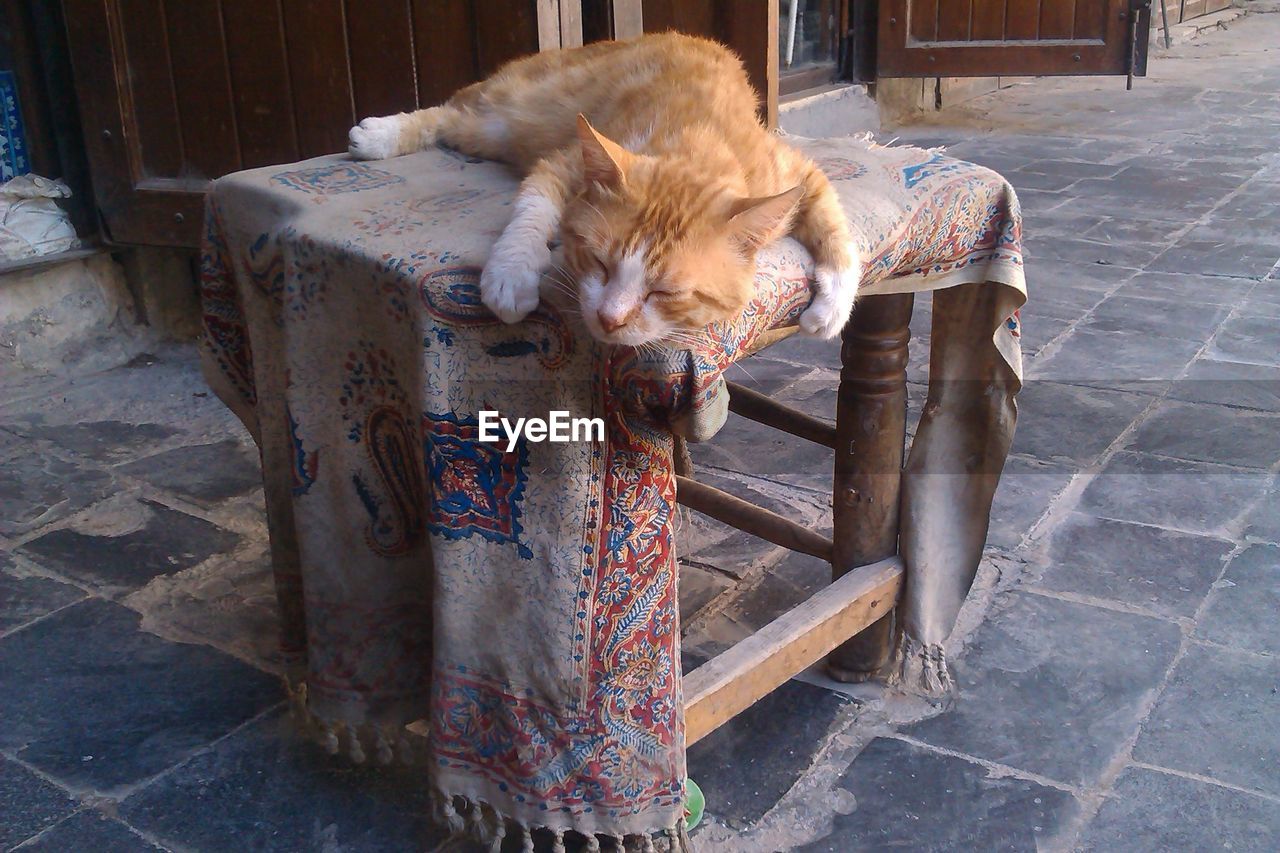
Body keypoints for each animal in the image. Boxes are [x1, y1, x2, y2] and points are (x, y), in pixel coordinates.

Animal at [348, 33, 860, 345]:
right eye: (598, 262)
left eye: (665, 293)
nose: (610, 319)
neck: (695, 143)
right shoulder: (564, 162)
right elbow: (531, 211)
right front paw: (512, 272)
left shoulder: (796, 171)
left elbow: (837, 230)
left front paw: (832, 307)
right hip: (513, 118)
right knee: (450, 112)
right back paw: (379, 135)